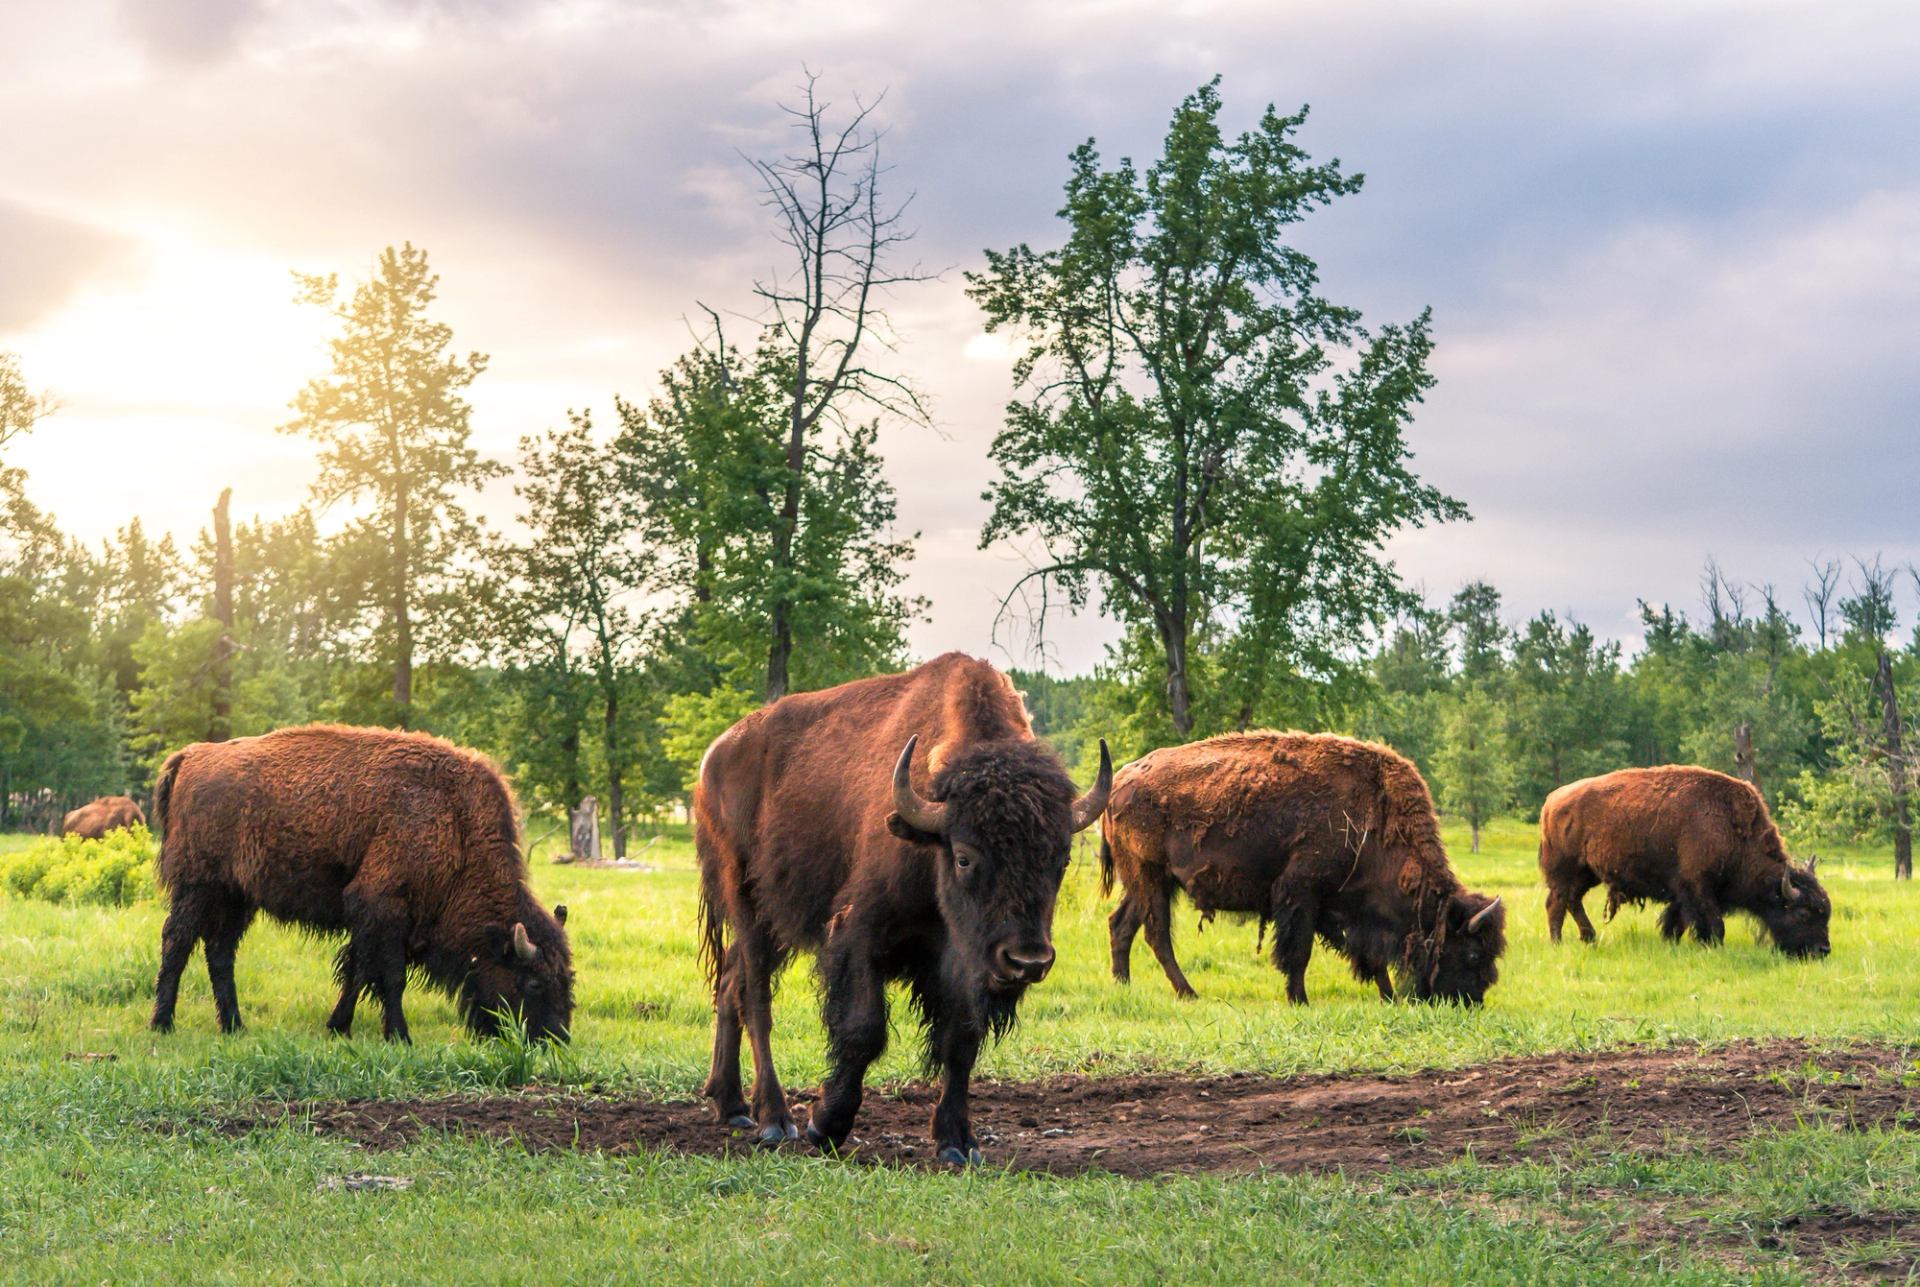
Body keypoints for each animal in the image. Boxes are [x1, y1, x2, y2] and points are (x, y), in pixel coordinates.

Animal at [148, 729, 572, 1044]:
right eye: (533, 982)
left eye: (566, 978)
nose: (556, 1038)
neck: (456, 823)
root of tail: (191, 756)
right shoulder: (382, 906)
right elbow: (390, 976)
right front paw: (399, 1036)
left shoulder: (379, 921)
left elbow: (358, 971)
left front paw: (338, 1026)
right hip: (198, 885)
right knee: (177, 941)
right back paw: (163, 1024)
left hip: (238, 896)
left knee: (220, 951)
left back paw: (235, 1026)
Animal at [691, 656, 1113, 1167]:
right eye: (964, 857)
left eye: (1062, 859)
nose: (1026, 961)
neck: (929, 845)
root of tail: (714, 758)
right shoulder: (859, 935)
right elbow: (864, 1030)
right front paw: (824, 1125)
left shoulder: (963, 961)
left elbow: (960, 1041)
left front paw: (957, 1142)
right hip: (746, 901)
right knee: (755, 998)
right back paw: (774, 1118)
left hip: (778, 924)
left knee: (729, 984)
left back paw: (731, 1105)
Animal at [1105, 737, 1505, 1006]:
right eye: (1472, 954)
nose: (1471, 1002)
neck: (1375, 821)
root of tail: (1119, 781)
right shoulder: (1301, 895)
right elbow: (1299, 952)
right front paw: (1299, 999)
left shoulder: (1346, 911)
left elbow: (1371, 958)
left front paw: (1388, 997)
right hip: (1150, 877)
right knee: (1157, 934)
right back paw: (1188, 992)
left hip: (1147, 882)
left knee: (1122, 925)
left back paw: (1124, 986)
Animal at [1528, 768, 1827, 956]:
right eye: (1803, 913)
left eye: (1826, 913)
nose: (1822, 951)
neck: (1734, 830)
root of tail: (1552, 800)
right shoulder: (1699, 886)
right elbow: (1714, 924)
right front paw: (1711, 947)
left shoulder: (1684, 891)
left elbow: (1677, 921)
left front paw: (1671, 942)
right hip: (1566, 870)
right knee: (1556, 903)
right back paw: (1558, 942)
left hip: (1587, 873)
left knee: (1572, 900)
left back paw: (1589, 938)